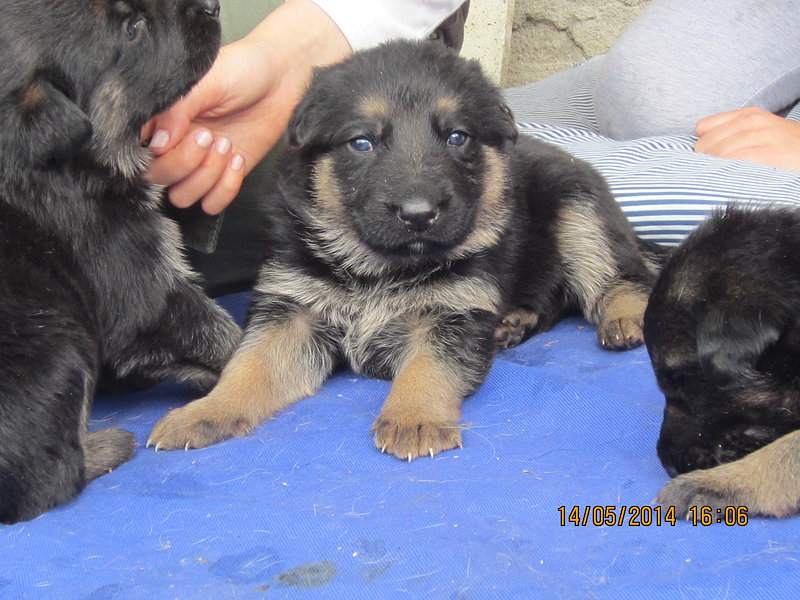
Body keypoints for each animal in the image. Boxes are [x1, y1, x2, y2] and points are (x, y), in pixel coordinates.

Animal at [1, 0, 242, 524]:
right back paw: (110, 446)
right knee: (47, 480)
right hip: (59, 342)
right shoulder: (146, 285)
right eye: (133, 28)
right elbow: (218, 332)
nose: (213, 6)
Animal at [147, 39, 660, 462]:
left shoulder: (452, 313)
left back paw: (623, 318)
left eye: (457, 137)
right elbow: (250, 367)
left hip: (578, 207)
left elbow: (428, 368)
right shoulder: (292, 311)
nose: (419, 214)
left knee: (623, 276)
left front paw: (415, 418)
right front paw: (206, 412)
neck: (378, 267)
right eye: (362, 142)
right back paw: (514, 321)